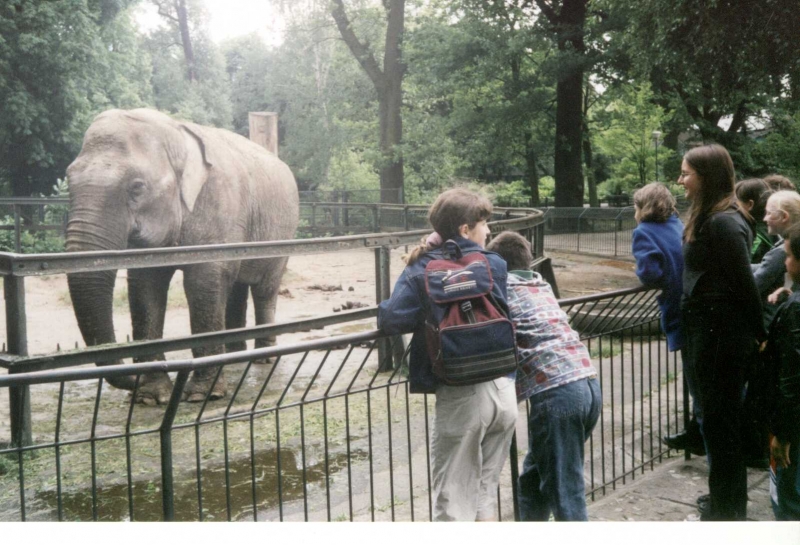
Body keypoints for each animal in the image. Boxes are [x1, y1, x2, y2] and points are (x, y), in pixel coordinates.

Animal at [65, 108, 300, 404]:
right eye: (68, 182)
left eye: (137, 187)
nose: (132, 379)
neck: (177, 133)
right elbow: (146, 285)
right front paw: (151, 398)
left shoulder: (218, 205)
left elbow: (203, 283)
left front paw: (203, 396)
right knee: (236, 286)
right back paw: (235, 356)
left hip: (283, 233)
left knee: (265, 288)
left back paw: (263, 358)